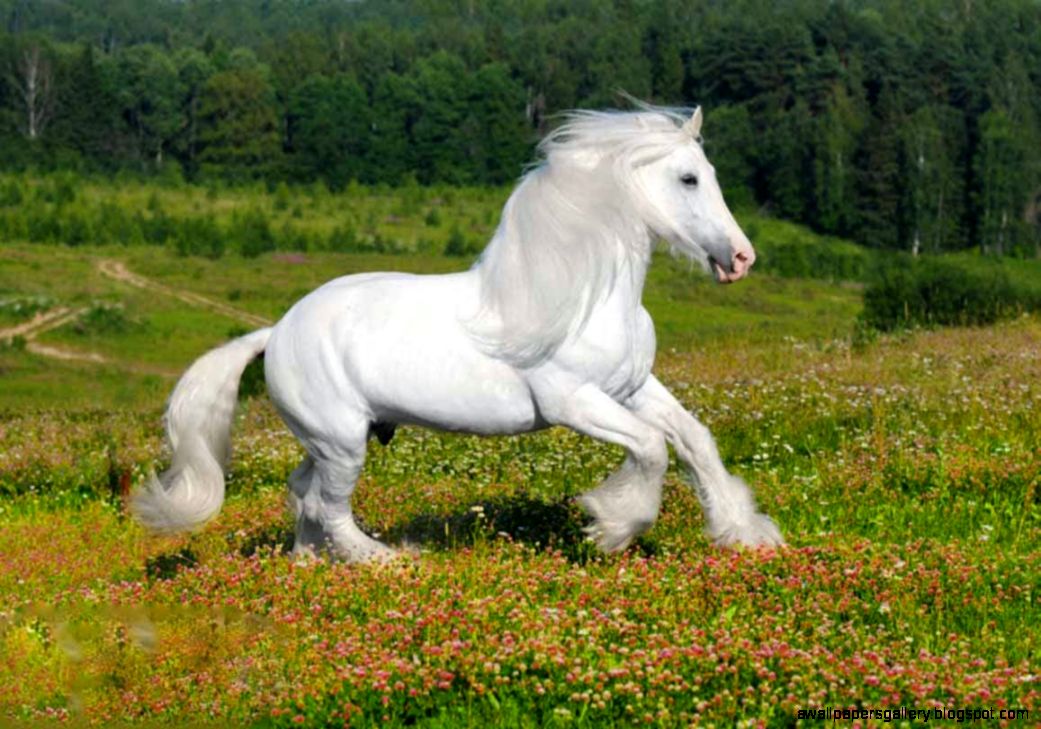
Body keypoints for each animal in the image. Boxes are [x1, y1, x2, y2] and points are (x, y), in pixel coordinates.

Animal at [131, 105, 785, 561]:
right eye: (688, 179)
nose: (741, 258)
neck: (584, 296)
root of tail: (274, 332)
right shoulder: (573, 401)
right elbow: (650, 448)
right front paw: (611, 525)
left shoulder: (632, 387)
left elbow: (694, 440)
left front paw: (746, 533)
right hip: (342, 440)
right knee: (326, 502)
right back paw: (385, 560)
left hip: (327, 440)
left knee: (300, 490)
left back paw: (309, 561)